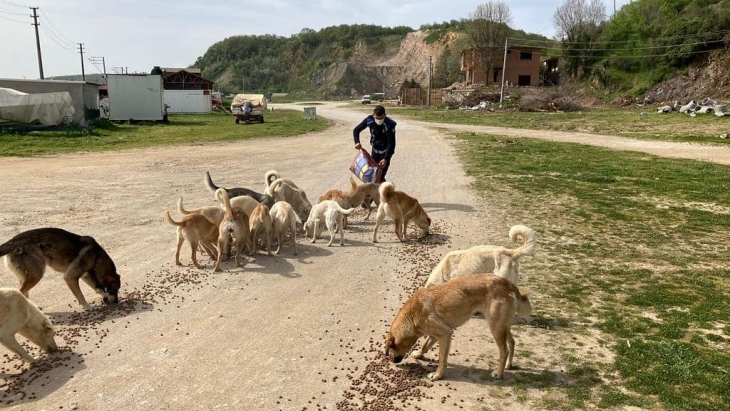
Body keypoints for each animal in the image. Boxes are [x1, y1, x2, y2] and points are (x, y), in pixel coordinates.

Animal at [382, 276, 528, 382]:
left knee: (504, 351)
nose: (392, 361)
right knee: (512, 342)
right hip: (503, 326)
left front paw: (438, 375)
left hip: (496, 328)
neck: (412, 316)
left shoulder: (445, 334)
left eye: (391, 348)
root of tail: (507, 283)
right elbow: (425, 345)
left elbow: (442, 358)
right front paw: (419, 354)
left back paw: (499, 373)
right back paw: (509, 365)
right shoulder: (435, 334)